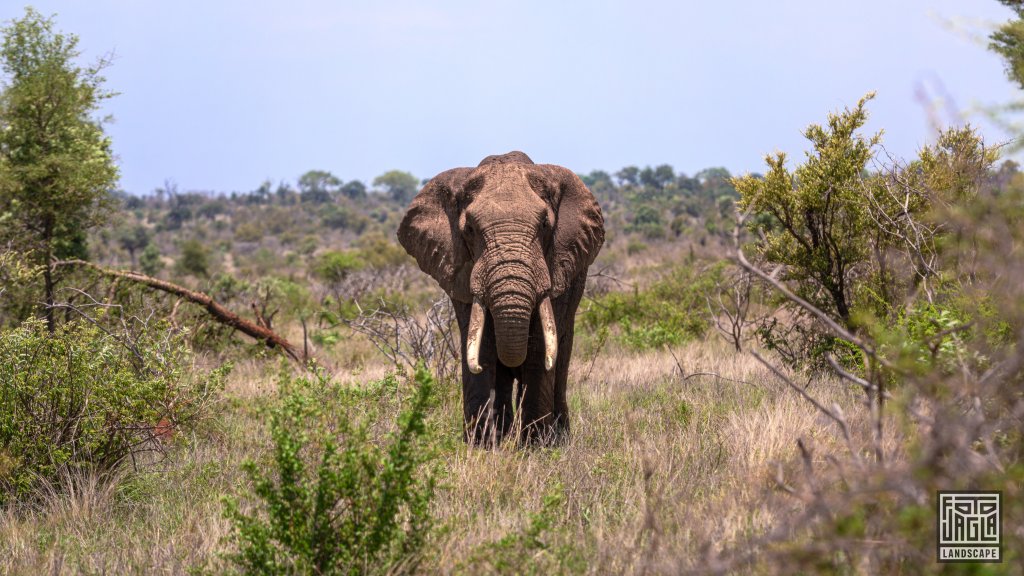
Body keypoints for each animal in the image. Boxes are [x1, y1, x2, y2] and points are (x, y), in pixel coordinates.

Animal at [395, 150, 602, 440]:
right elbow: (482, 345)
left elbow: (540, 347)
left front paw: (536, 446)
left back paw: (557, 438)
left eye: (545, 225)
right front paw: (481, 444)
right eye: (469, 229)